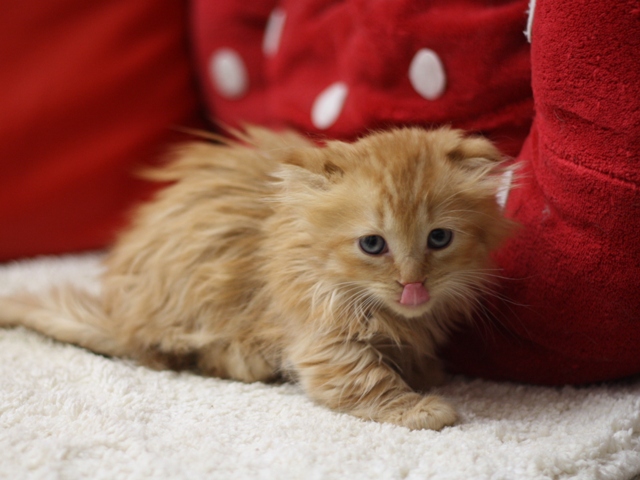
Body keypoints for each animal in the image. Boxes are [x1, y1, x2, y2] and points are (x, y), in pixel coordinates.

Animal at [0, 127, 516, 432]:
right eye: (373, 245)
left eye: (439, 238)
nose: (413, 285)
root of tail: (121, 316)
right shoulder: (318, 337)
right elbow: (365, 381)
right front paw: (422, 406)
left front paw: (425, 370)